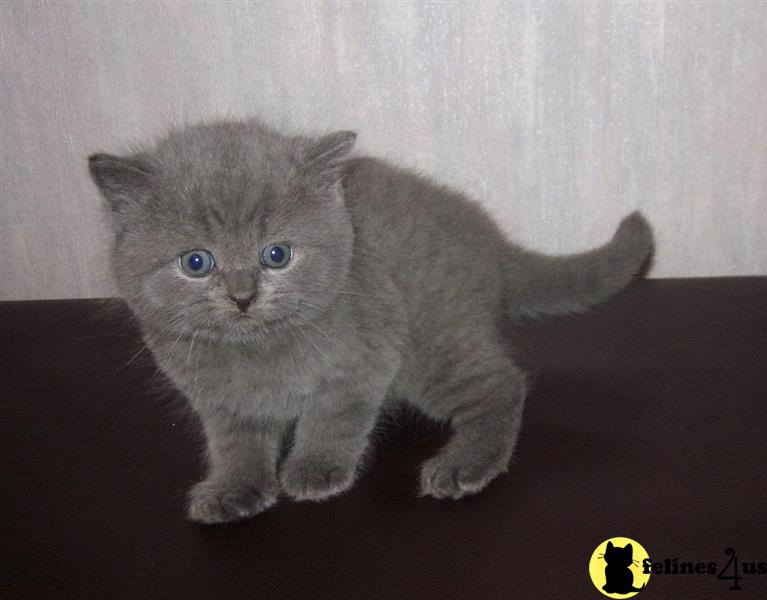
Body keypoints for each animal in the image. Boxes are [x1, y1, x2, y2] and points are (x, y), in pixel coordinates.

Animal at [88, 117, 656, 520]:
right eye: (196, 262)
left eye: (277, 255)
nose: (242, 296)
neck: (260, 351)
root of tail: (492, 244)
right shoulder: (217, 398)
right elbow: (234, 443)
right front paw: (235, 488)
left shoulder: (371, 351)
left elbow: (334, 415)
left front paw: (315, 469)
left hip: (431, 344)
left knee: (502, 384)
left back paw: (465, 464)